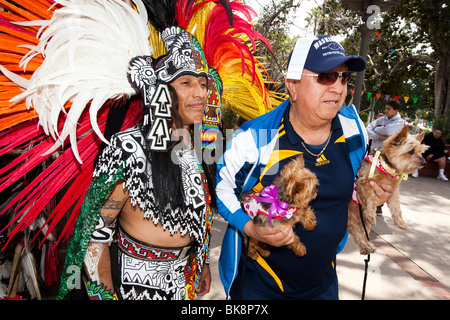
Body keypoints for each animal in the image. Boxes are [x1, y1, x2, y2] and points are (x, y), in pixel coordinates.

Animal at [350, 126, 428, 254]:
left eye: (420, 152)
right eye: (411, 151)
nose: (424, 162)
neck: (386, 166)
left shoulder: (393, 191)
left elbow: (396, 208)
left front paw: (400, 222)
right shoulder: (365, 182)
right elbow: (371, 200)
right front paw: (371, 215)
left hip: (362, 222)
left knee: (361, 233)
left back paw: (367, 246)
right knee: (357, 232)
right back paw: (365, 247)